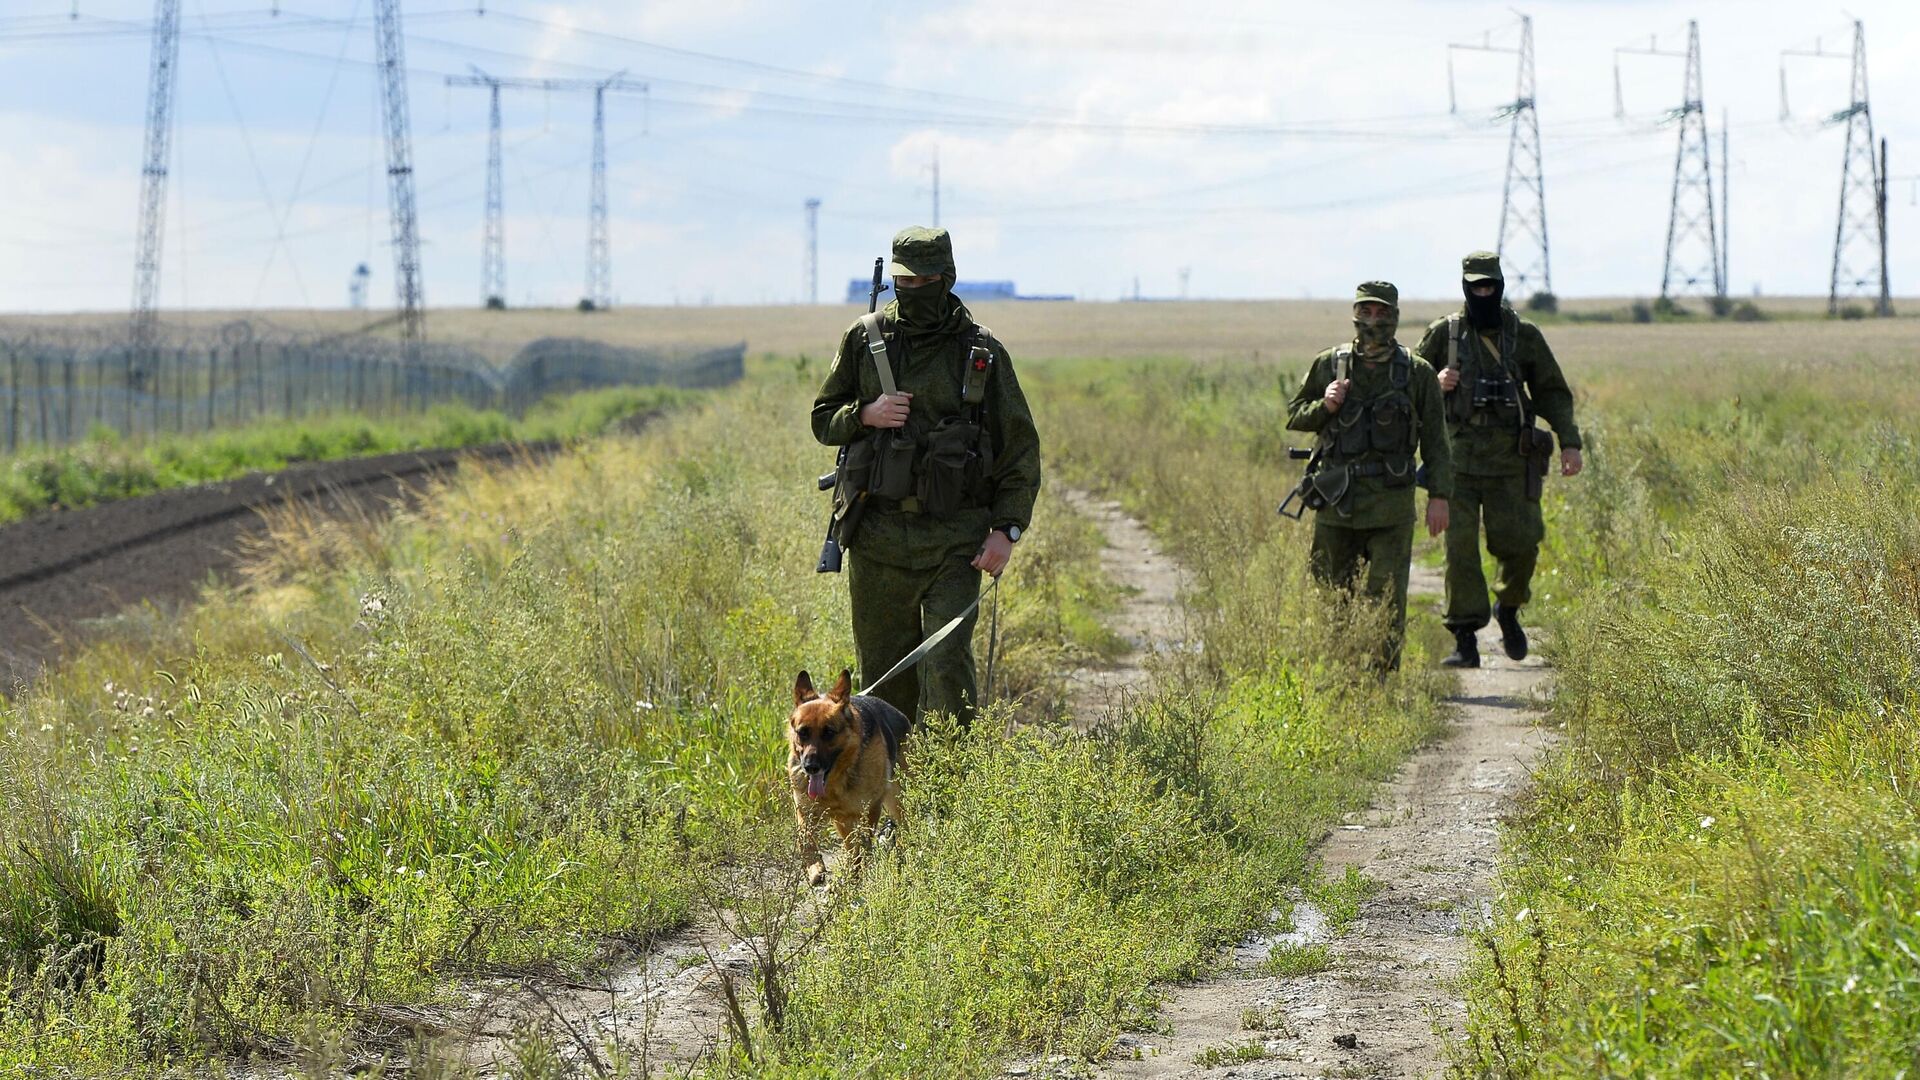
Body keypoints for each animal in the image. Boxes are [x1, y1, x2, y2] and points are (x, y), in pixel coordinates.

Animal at [794, 664, 913, 883]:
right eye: (802, 732)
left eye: (829, 732)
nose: (810, 767)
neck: (835, 782)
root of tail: (900, 714)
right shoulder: (806, 810)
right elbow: (805, 840)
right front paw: (815, 869)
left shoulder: (870, 808)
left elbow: (862, 845)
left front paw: (856, 873)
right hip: (844, 820)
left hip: (897, 801)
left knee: (905, 824)